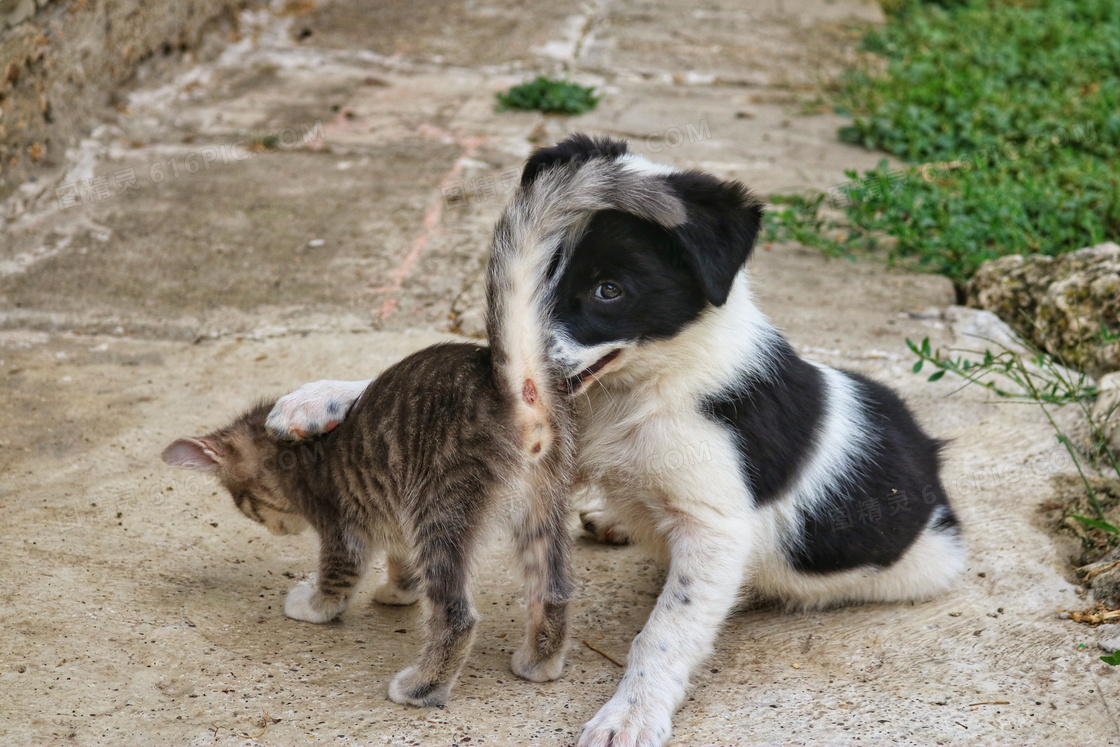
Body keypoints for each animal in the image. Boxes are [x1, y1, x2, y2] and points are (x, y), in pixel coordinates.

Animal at [162, 342, 573, 707]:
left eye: (246, 506)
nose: (277, 529)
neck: (287, 449)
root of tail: (508, 390)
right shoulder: (395, 506)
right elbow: (401, 554)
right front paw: (400, 589)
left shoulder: (342, 526)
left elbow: (337, 576)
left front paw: (314, 606)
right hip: (541, 506)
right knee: (552, 589)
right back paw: (538, 663)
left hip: (440, 506)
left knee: (456, 616)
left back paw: (421, 688)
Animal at [262, 134, 963, 747]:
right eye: (535, 275)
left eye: (608, 290)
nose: (510, 369)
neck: (639, 387)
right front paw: (319, 397)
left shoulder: (713, 527)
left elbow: (665, 631)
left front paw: (631, 713)